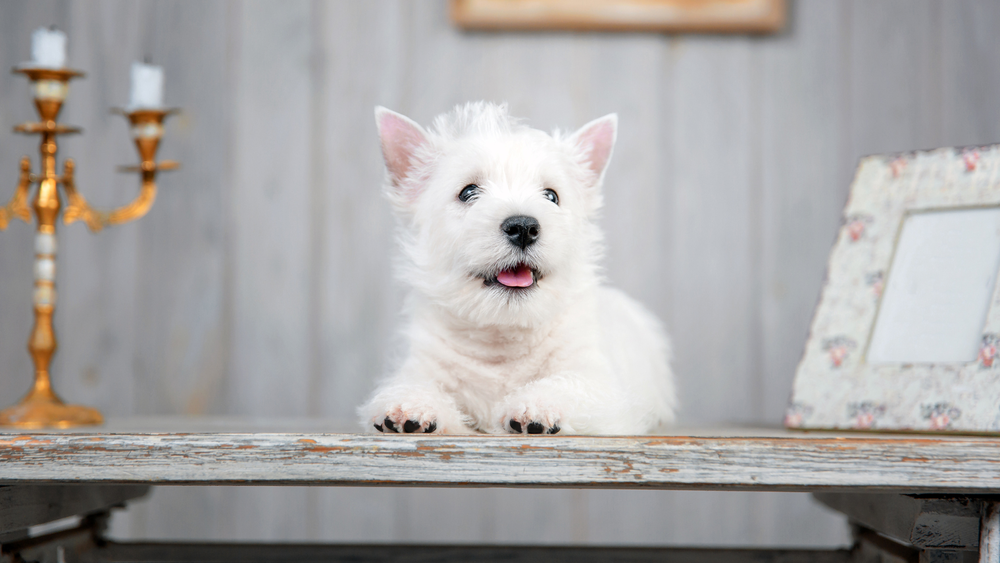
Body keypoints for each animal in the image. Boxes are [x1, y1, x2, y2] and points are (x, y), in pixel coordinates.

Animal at [356, 102, 676, 436]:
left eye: (551, 195)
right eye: (468, 192)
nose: (523, 227)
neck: (501, 336)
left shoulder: (602, 386)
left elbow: (568, 385)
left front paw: (534, 408)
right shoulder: (424, 364)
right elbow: (417, 382)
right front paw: (409, 407)